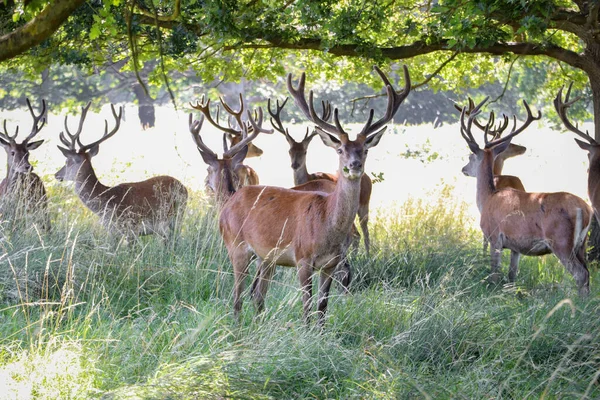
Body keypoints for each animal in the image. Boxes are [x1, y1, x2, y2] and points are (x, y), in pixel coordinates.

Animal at [56, 103, 189, 241]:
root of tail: (184, 187)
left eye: (67, 161)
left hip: (176, 216)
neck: (107, 203)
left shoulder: (132, 227)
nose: (57, 174)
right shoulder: (111, 231)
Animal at [220, 64, 412, 324]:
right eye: (340, 149)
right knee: (237, 296)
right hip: (236, 246)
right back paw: (238, 327)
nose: (354, 165)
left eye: (364, 150)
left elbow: (322, 307)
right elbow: (307, 307)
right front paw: (304, 330)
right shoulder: (303, 258)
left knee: (258, 295)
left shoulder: (330, 264)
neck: (325, 225)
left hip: (266, 256)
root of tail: (228, 203)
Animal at [460, 98, 592, 294]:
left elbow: (495, 273)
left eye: (470, 157)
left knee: (580, 274)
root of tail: (585, 209)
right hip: (581, 243)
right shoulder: (516, 246)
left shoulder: (494, 236)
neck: (487, 198)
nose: (463, 169)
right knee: (587, 273)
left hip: (561, 240)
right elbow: (511, 275)